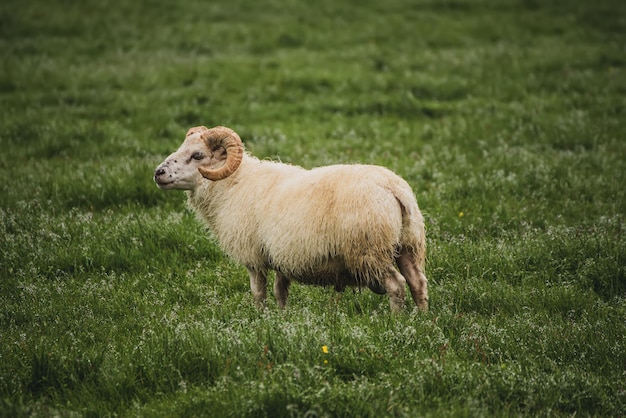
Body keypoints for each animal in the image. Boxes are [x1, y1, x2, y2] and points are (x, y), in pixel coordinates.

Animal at [155, 125, 428, 312]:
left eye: (198, 155)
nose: (158, 173)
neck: (232, 185)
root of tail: (393, 188)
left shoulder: (253, 257)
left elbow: (258, 292)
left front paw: (260, 318)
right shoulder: (280, 256)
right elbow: (280, 291)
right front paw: (281, 317)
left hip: (369, 251)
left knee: (396, 285)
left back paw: (396, 321)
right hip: (407, 245)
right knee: (418, 282)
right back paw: (421, 320)